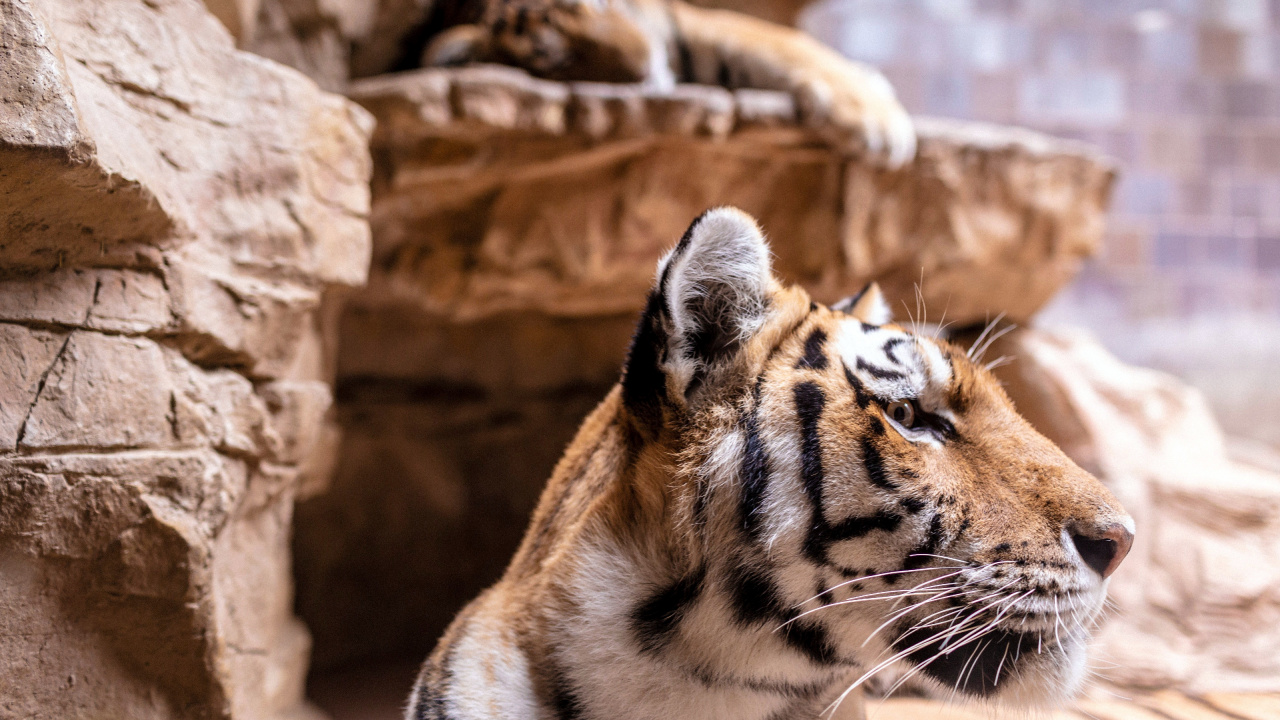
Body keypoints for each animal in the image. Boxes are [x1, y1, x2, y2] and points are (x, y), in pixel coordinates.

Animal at [358, 0, 915, 166]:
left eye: (600, 3)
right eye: (555, 58)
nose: (649, 64)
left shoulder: (683, 22)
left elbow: (784, 43)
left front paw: (880, 120)